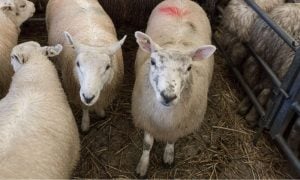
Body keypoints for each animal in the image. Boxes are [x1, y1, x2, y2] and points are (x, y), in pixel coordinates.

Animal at [46, 0, 126, 132]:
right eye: (78, 64)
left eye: (107, 67)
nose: (88, 97)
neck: (93, 42)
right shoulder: (77, 90)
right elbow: (84, 108)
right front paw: (85, 124)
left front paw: (100, 112)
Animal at [131, 0, 216, 177]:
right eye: (153, 62)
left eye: (189, 68)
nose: (168, 96)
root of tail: (182, 1)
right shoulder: (146, 119)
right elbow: (147, 144)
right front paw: (142, 166)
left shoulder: (177, 127)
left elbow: (171, 141)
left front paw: (168, 156)